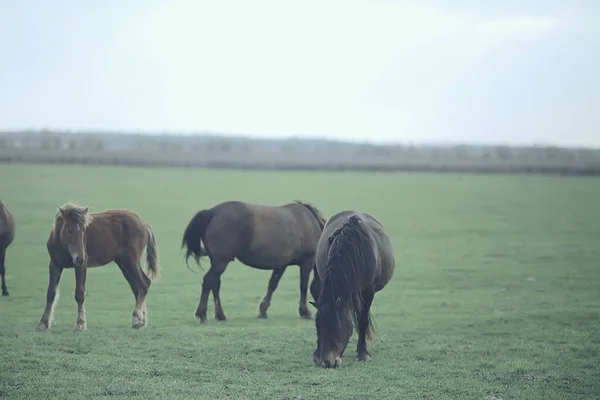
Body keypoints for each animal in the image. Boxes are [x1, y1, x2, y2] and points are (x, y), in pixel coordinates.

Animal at [34, 203, 158, 332]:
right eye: (69, 231)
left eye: (84, 231)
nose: (80, 258)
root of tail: (143, 223)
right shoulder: (55, 264)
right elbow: (51, 293)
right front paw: (42, 324)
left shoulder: (80, 266)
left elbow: (80, 293)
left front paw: (80, 324)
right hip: (123, 263)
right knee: (137, 287)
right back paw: (141, 321)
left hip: (131, 261)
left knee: (144, 284)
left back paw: (136, 319)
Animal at [180, 198, 328, 324]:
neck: (309, 222)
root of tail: (212, 212)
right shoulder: (307, 260)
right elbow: (304, 285)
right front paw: (305, 312)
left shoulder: (281, 264)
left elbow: (272, 284)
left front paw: (263, 310)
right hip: (221, 262)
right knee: (208, 281)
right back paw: (202, 315)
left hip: (217, 261)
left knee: (215, 284)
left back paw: (220, 315)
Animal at [312, 209, 396, 368]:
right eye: (318, 327)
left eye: (335, 326)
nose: (326, 362)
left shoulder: (368, 291)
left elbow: (362, 320)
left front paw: (363, 354)